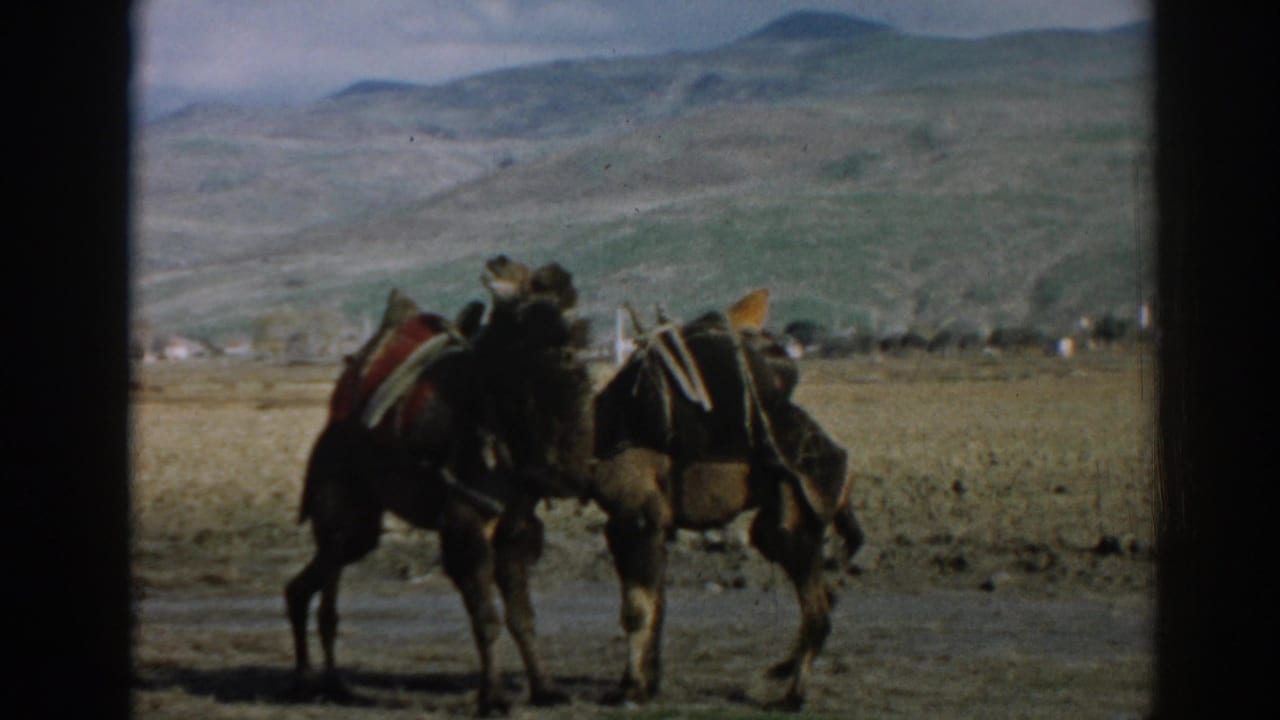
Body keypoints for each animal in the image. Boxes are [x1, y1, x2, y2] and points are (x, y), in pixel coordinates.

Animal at [285, 256, 593, 716]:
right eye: (528, 314)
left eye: (571, 308)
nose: (571, 349)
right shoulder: (462, 523)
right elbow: (486, 617)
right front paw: (493, 699)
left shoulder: (514, 528)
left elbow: (522, 617)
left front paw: (546, 690)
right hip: (337, 511)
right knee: (322, 591)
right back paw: (322, 683)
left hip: (363, 529)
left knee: (307, 586)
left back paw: (319, 683)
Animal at [589, 289, 864, 710]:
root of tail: (845, 469)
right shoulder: (646, 525)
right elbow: (656, 604)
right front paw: (645, 683)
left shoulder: (634, 518)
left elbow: (637, 608)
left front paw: (630, 689)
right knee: (823, 595)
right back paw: (782, 674)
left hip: (796, 516)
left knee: (817, 607)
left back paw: (792, 695)